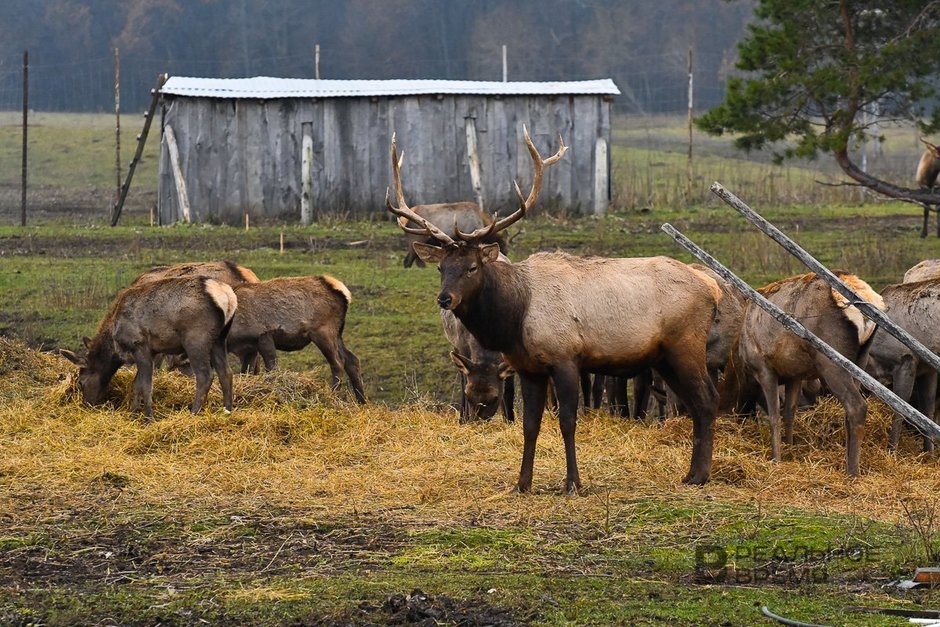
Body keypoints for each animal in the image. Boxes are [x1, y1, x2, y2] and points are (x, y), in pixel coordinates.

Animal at [60, 278, 237, 420]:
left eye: (81, 381)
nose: (87, 404)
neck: (115, 346)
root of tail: (227, 296)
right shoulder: (151, 352)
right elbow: (136, 384)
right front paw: (133, 413)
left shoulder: (139, 346)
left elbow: (146, 384)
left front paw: (148, 417)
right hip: (220, 338)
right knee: (226, 372)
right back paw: (227, 410)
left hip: (196, 339)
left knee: (205, 376)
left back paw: (194, 413)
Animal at [226, 278, 366, 404]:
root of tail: (343, 296)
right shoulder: (249, 348)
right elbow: (246, 372)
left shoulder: (263, 336)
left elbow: (272, 368)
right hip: (337, 334)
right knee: (352, 360)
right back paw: (362, 402)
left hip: (323, 332)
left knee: (338, 362)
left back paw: (333, 396)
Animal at [386, 126, 724, 490]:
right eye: (441, 267)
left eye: (472, 267)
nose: (445, 299)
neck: (515, 317)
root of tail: (712, 287)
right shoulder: (529, 368)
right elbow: (529, 424)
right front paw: (522, 483)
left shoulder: (566, 357)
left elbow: (567, 421)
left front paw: (573, 483)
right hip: (663, 357)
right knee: (693, 403)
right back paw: (691, 473)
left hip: (686, 344)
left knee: (707, 400)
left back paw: (700, 475)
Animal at [724, 272, 884, 474]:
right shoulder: (795, 375)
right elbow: (789, 412)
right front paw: (790, 447)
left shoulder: (764, 369)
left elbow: (774, 416)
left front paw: (776, 458)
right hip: (860, 360)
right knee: (849, 411)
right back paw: (847, 459)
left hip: (831, 362)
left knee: (857, 406)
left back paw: (853, 472)